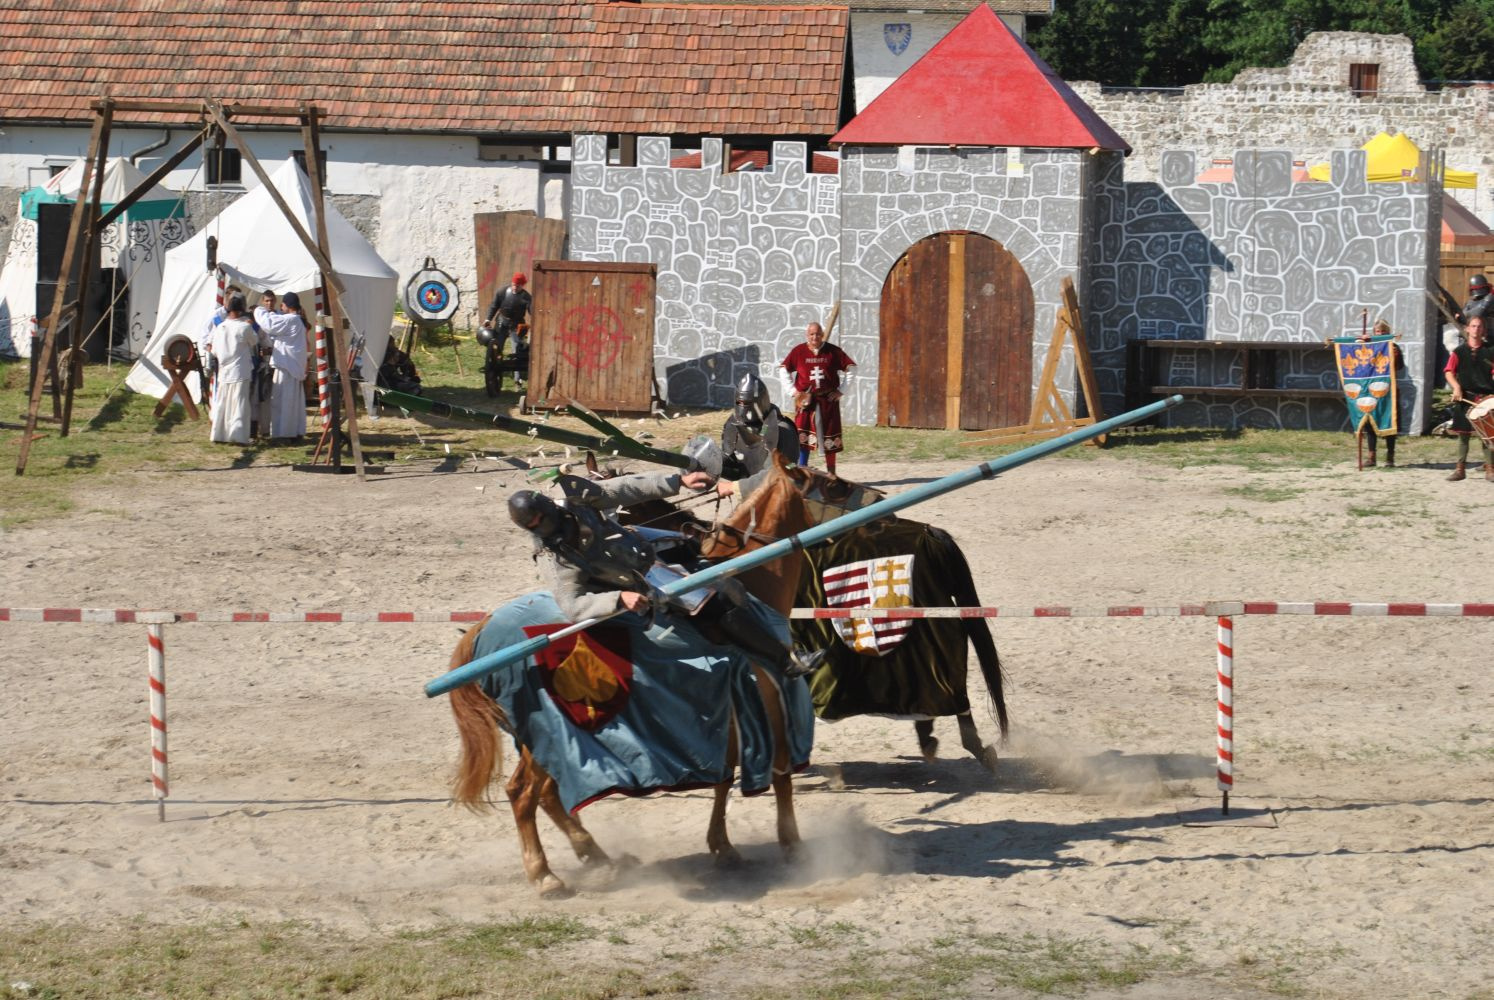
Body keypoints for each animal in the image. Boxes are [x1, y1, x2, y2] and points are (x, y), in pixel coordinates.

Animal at [445, 460, 812, 896]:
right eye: (830, 487)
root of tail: (480, 634)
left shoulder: (728, 719)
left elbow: (723, 780)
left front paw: (723, 848)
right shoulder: (768, 705)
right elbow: (781, 775)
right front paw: (791, 845)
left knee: (549, 795)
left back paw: (596, 856)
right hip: (542, 736)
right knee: (522, 794)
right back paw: (545, 875)